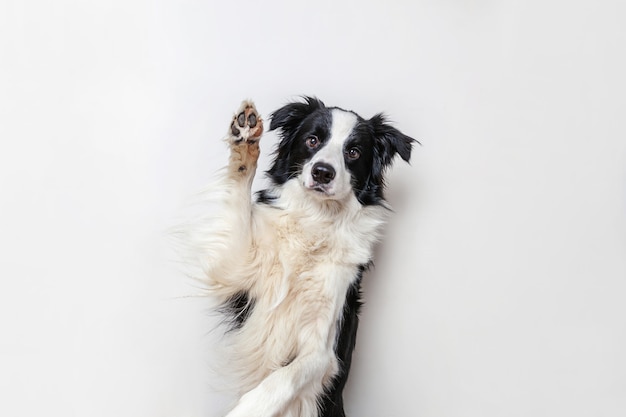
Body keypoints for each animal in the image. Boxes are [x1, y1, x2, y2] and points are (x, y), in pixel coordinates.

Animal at [180, 96, 414, 416]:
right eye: (312, 140)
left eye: (353, 152)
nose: (322, 172)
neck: (316, 221)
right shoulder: (238, 267)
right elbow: (238, 200)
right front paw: (245, 139)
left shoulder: (324, 351)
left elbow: (283, 378)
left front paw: (245, 409)